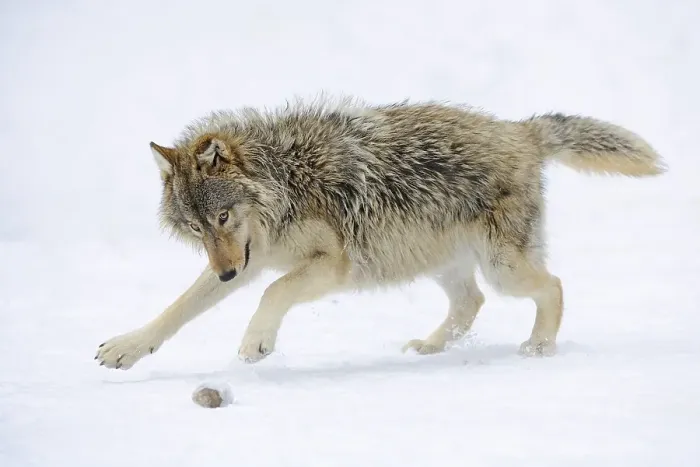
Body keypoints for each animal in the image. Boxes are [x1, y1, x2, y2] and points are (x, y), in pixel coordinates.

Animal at [95, 96, 665, 370]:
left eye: (222, 218)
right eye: (196, 228)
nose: (227, 272)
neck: (285, 182)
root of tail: (521, 130)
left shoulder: (330, 266)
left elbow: (274, 293)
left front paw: (257, 343)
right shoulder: (249, 261)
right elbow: (177, 309)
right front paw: (126, 348)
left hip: (502, 268)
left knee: (554, 286)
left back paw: (538, 349)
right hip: (437, 261)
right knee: (471, 303)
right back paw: (429, 349)